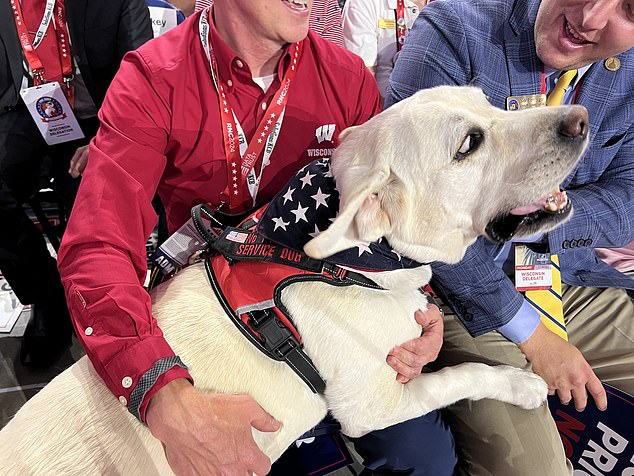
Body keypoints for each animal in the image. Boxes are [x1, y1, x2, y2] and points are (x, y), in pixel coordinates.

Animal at [0, 86, 584, 472]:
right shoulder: (373, 406)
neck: (352, 261)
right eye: (469, 143)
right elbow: (462, 375)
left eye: (487, 100)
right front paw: (521, 384)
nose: (579, 119)